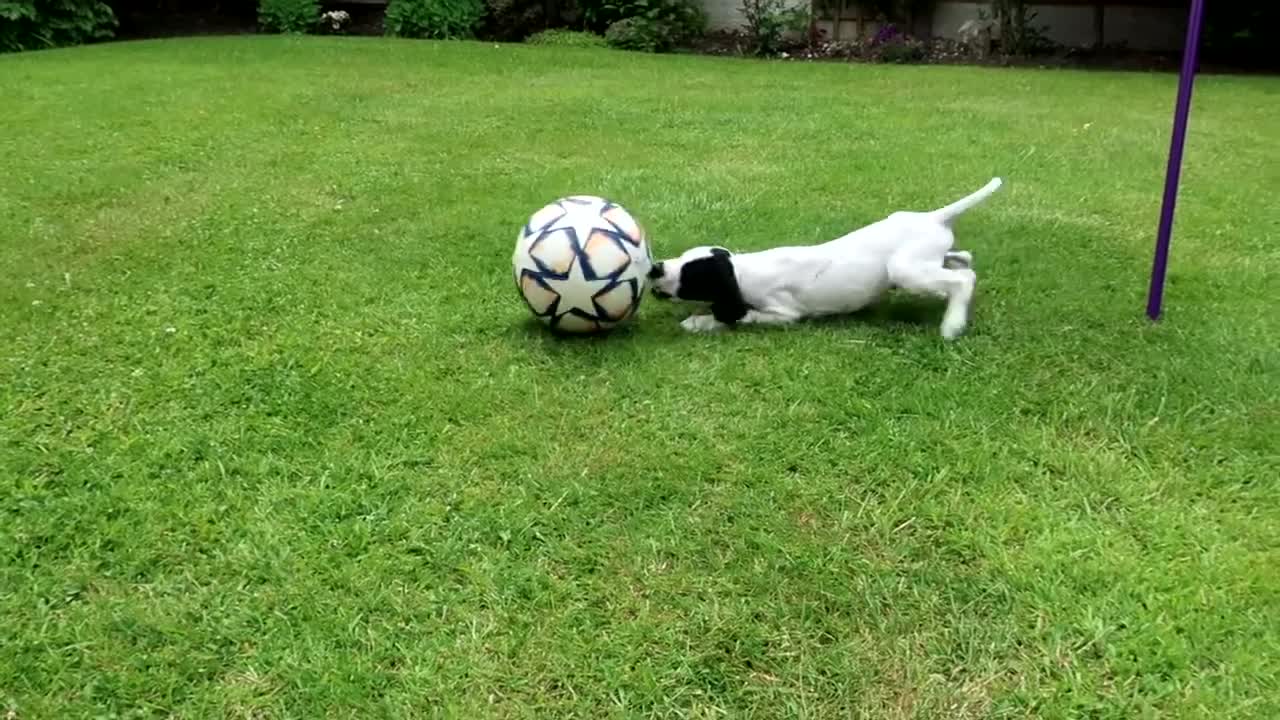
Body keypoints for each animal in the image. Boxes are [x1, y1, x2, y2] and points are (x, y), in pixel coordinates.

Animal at [650, 178, 998, 338]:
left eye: (691, 277)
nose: (655, 268)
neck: (744, 269)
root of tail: (933, 217)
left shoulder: (784, 314)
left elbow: (739, 316)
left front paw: (700, 321)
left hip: (904, 270)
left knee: (963, 279)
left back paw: (952, 325)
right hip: (922, 264)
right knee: (963, 261)